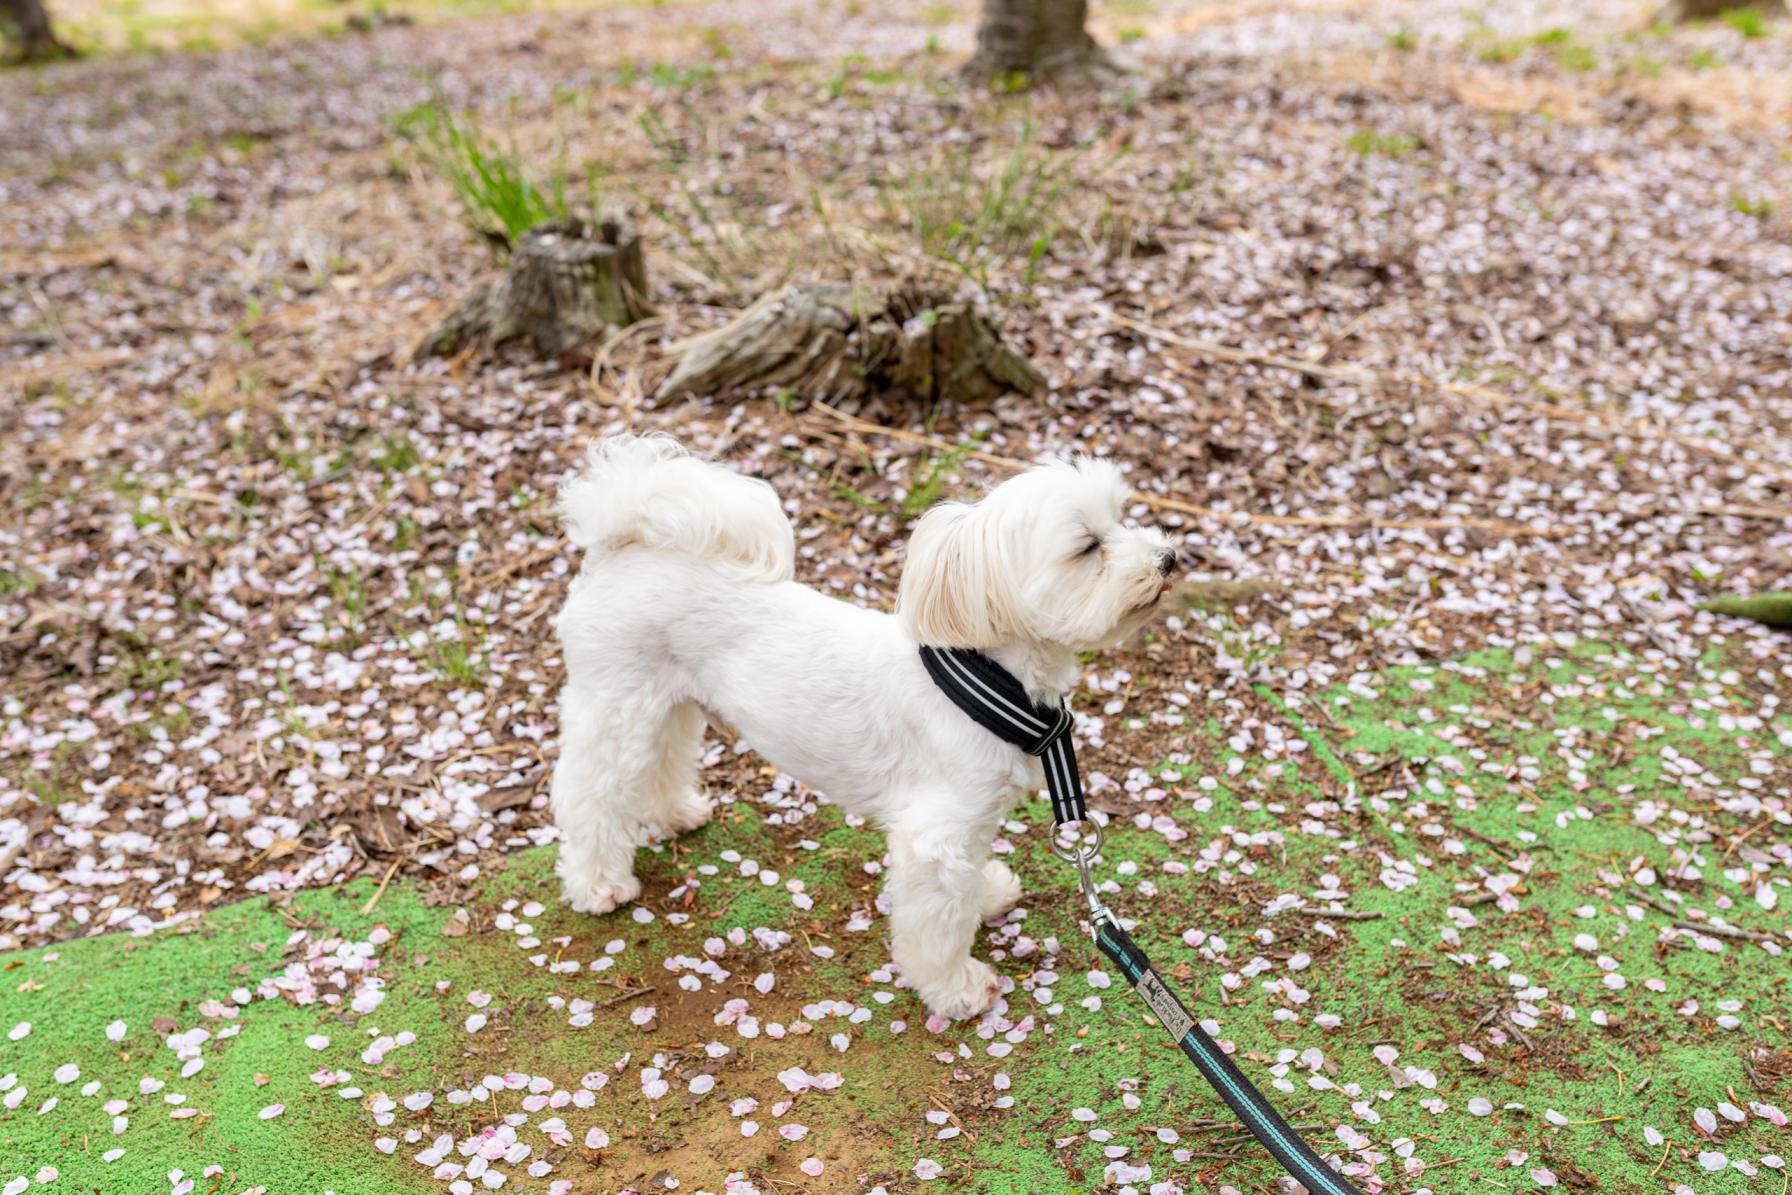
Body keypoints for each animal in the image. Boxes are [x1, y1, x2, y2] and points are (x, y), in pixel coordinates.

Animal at [548, 437, 1175, 1017]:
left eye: (1121, 517)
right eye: (1088, 546)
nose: (1168, 557)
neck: (985, 678)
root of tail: (623, 546)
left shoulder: (973, 819)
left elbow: (966, 884)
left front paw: (985, 894)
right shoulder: (935, 835)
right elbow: (936, 920)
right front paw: (956, 987)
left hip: (670, 703)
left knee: (662, 758)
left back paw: (674, 813)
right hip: (618, 706)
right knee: (590, 793)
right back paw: (598, 883)